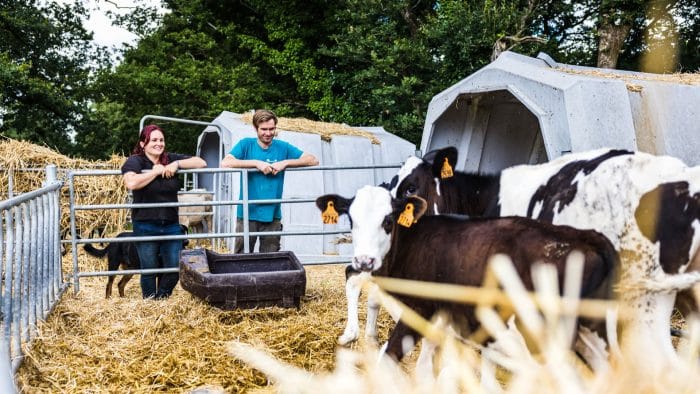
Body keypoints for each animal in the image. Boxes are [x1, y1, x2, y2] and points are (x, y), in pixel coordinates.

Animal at [314, 186, 616, 362]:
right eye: (352, 220)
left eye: (388, 221)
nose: (364, 259)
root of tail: (586, 238)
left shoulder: (419, 309)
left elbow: (389, 354)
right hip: (595, 334)